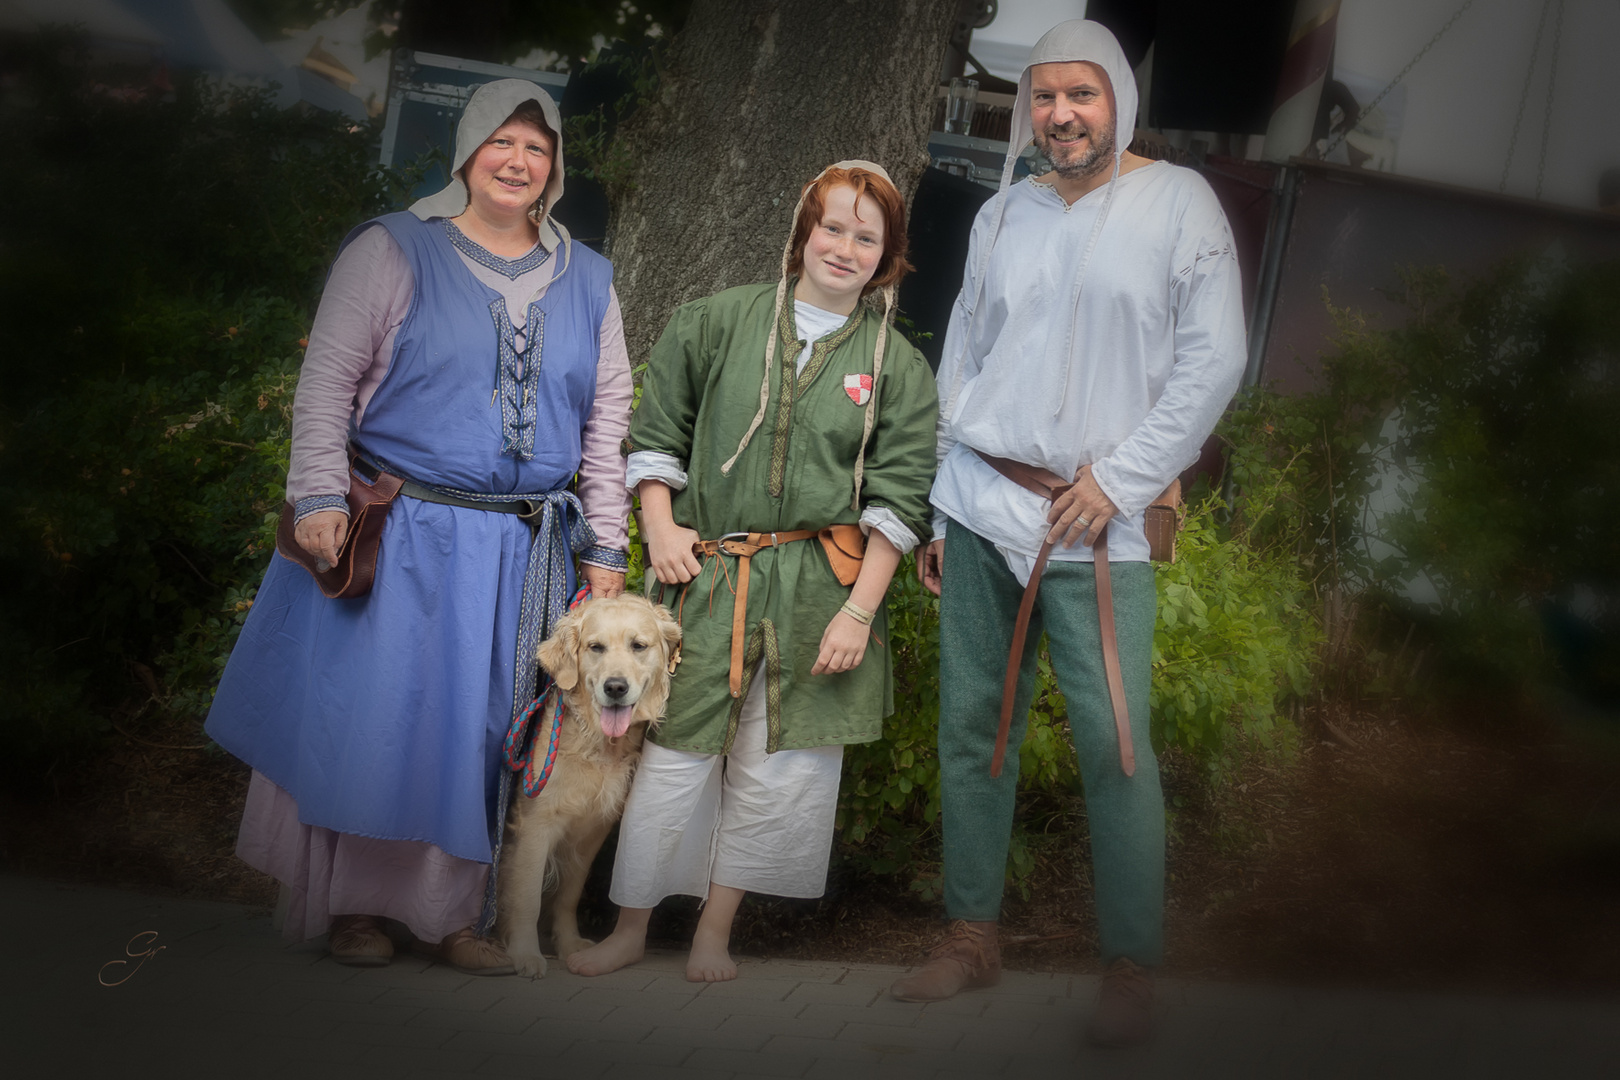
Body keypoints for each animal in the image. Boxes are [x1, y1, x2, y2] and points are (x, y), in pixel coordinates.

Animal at [486, 592, 677, 977]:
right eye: (596, 647)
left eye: (638, 646)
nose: (615, 687)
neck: (598, 745)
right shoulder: (535, 825)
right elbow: (526, 896)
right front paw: (525, 953)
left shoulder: (593, 830)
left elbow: (569, 895)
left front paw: (568, 943)